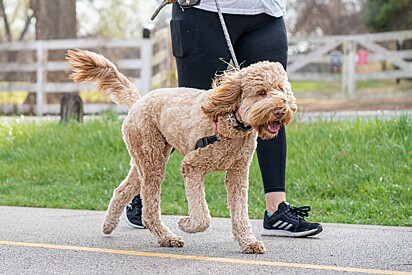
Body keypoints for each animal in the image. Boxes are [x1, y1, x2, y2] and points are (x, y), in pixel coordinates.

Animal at [68, 49, 300, 254]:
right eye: (261, 92)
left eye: (281, 89)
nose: (281, 110)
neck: (230, 121)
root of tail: (138, 101)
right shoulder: (192, 166)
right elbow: (202, 217)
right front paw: (186, 223)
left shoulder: (238, 173)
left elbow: (240, 213)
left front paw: (248, 242)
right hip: (152, 159)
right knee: (149, 209)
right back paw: (167, 237)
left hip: (147, 158)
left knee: (122, 190)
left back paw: (108, 224)